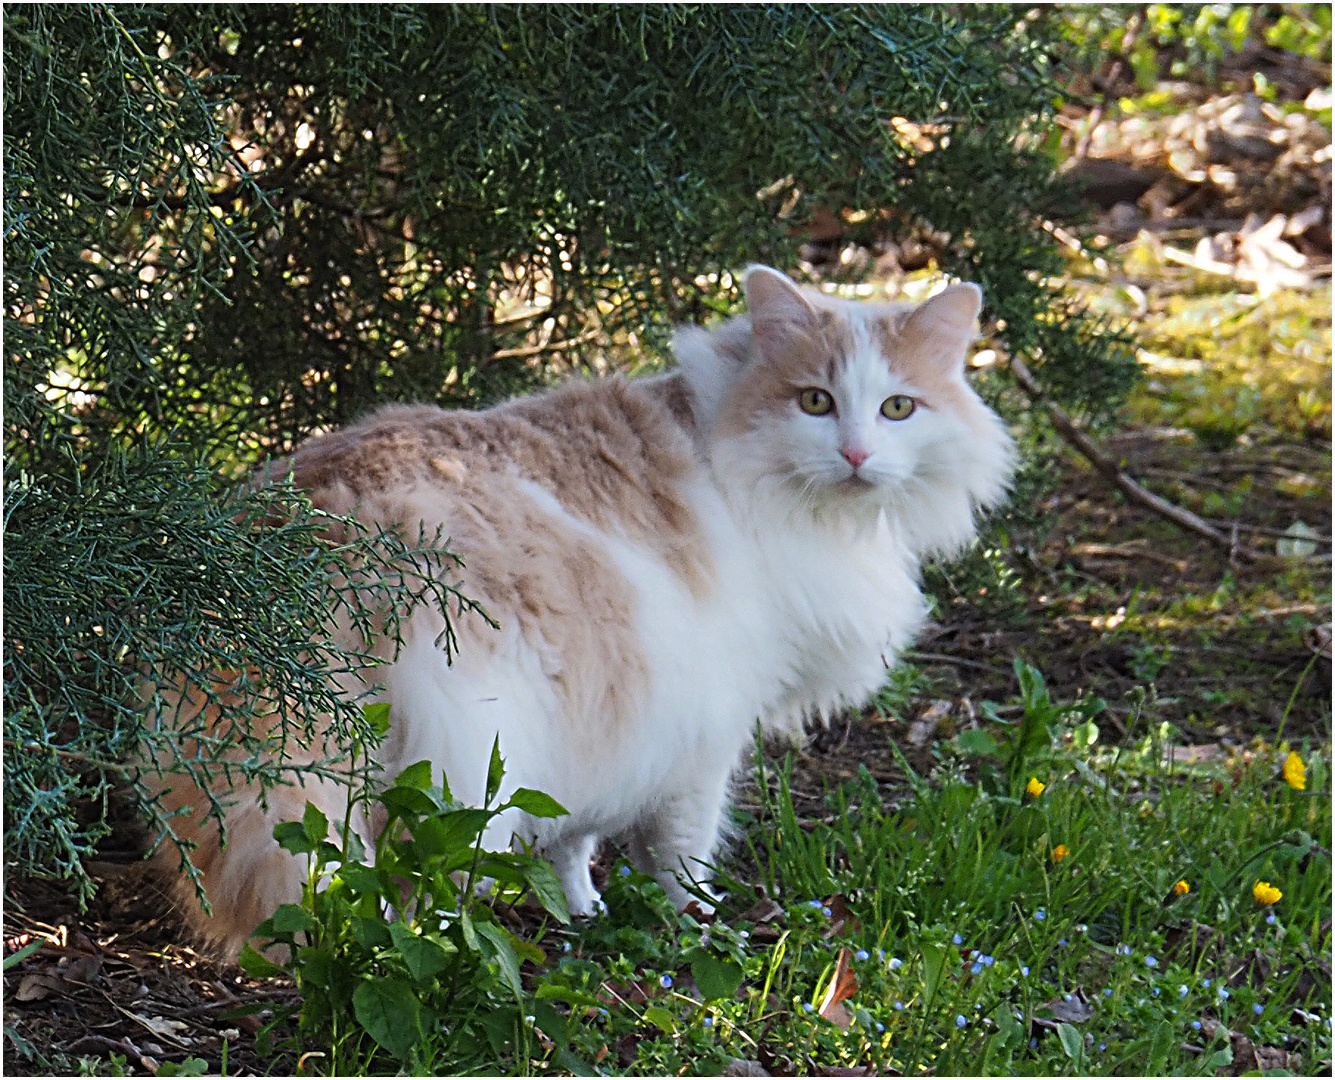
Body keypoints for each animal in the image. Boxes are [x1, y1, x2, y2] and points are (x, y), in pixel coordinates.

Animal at [143, 265, 1009, 955]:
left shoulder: (616, 719)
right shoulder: (702, 731)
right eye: (816, 402)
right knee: (419, 884)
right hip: (466, 759)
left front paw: (581, 909)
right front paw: (697, 925)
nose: (857, 455)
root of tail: (304, 530)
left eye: (898, 408)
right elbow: (682, 851)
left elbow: (575, 833)